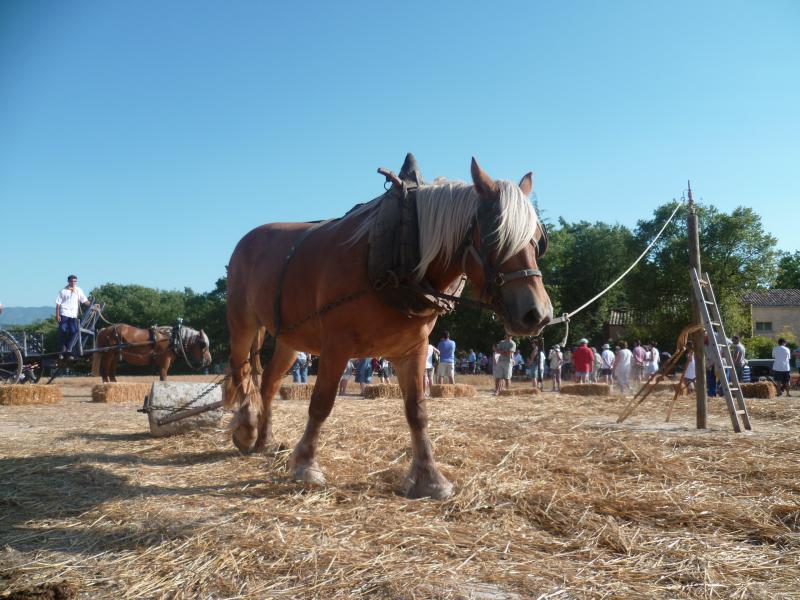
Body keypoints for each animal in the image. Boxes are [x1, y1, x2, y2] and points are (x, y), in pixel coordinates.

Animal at [223, 157, 552, 500]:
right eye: (495, 238)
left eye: (537, 240)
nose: (538, 314)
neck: (399, 253)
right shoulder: (336, 347)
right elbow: (321, 404)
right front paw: (306, 465)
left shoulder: (413, 350)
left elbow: (417, 411)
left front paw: (429, 478)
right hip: (242, 322)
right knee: (241, 371)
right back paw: (247, 427)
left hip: (290, 339)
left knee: (269, 383)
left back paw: (264, 440)